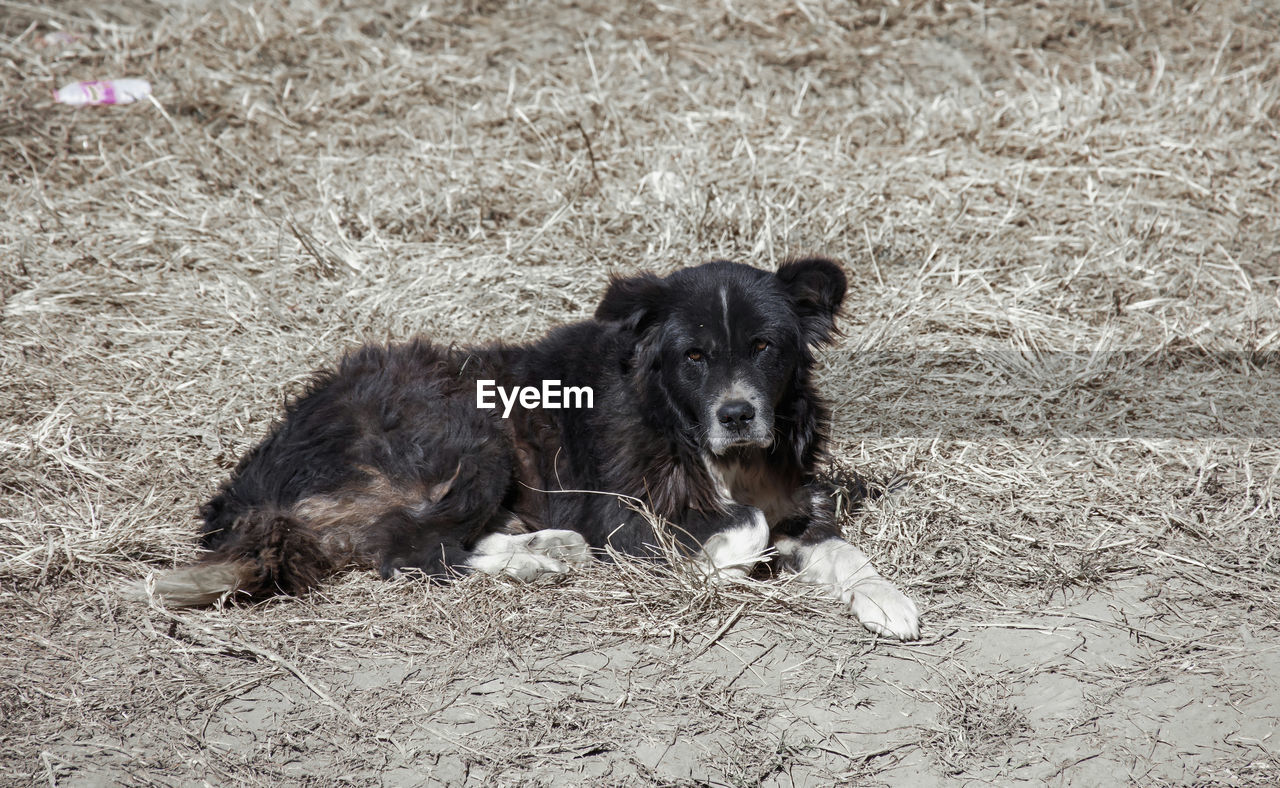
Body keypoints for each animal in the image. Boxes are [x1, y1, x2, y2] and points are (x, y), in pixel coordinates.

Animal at [137, 258, 921, 639]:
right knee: (410, 551)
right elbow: (742, 528)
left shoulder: (793, 497)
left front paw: (888, 600)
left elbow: (837, 544)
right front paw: (724, 567)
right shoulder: (627, 516)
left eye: (764, 347)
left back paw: (544, 548)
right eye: (694, 357)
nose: (737, 414)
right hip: (467, 427)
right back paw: (538, 560)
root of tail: (248, 482)